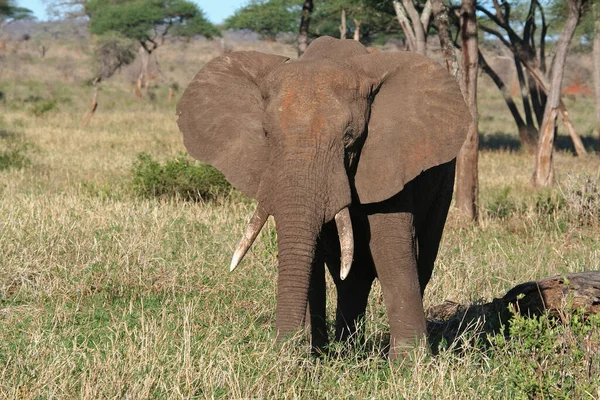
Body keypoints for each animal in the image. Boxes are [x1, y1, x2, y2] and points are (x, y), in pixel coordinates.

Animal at [176, 36, 472, 358]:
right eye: (266, 134)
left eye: (349, 137)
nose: (281, 349)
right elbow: (311, 254)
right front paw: (307, 357)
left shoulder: (391, 158)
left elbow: (391, 246)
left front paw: (410, 365)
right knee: (351, 277)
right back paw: (346, 350)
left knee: (419, 262)